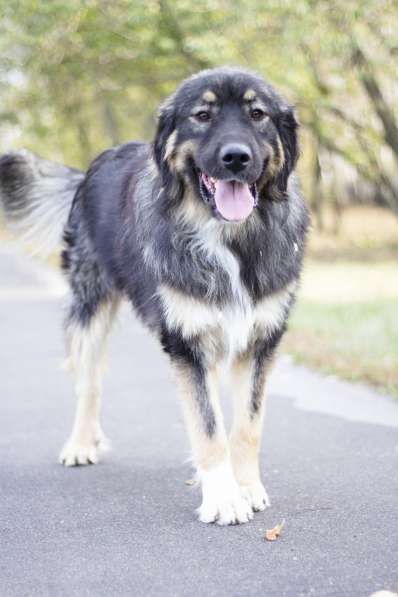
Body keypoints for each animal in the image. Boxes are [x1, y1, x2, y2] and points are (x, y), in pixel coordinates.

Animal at [0, 67, 310, 528]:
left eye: (258, 114)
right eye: (202, 115)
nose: (236, 158)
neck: (229, 239)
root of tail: (92, 166)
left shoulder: (259, 340)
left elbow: (246, 426)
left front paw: (247, 487)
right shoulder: (187, 343)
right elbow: (208, 428)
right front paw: (223, 498)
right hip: (90, 307)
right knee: (88, 382)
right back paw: (81, 443)